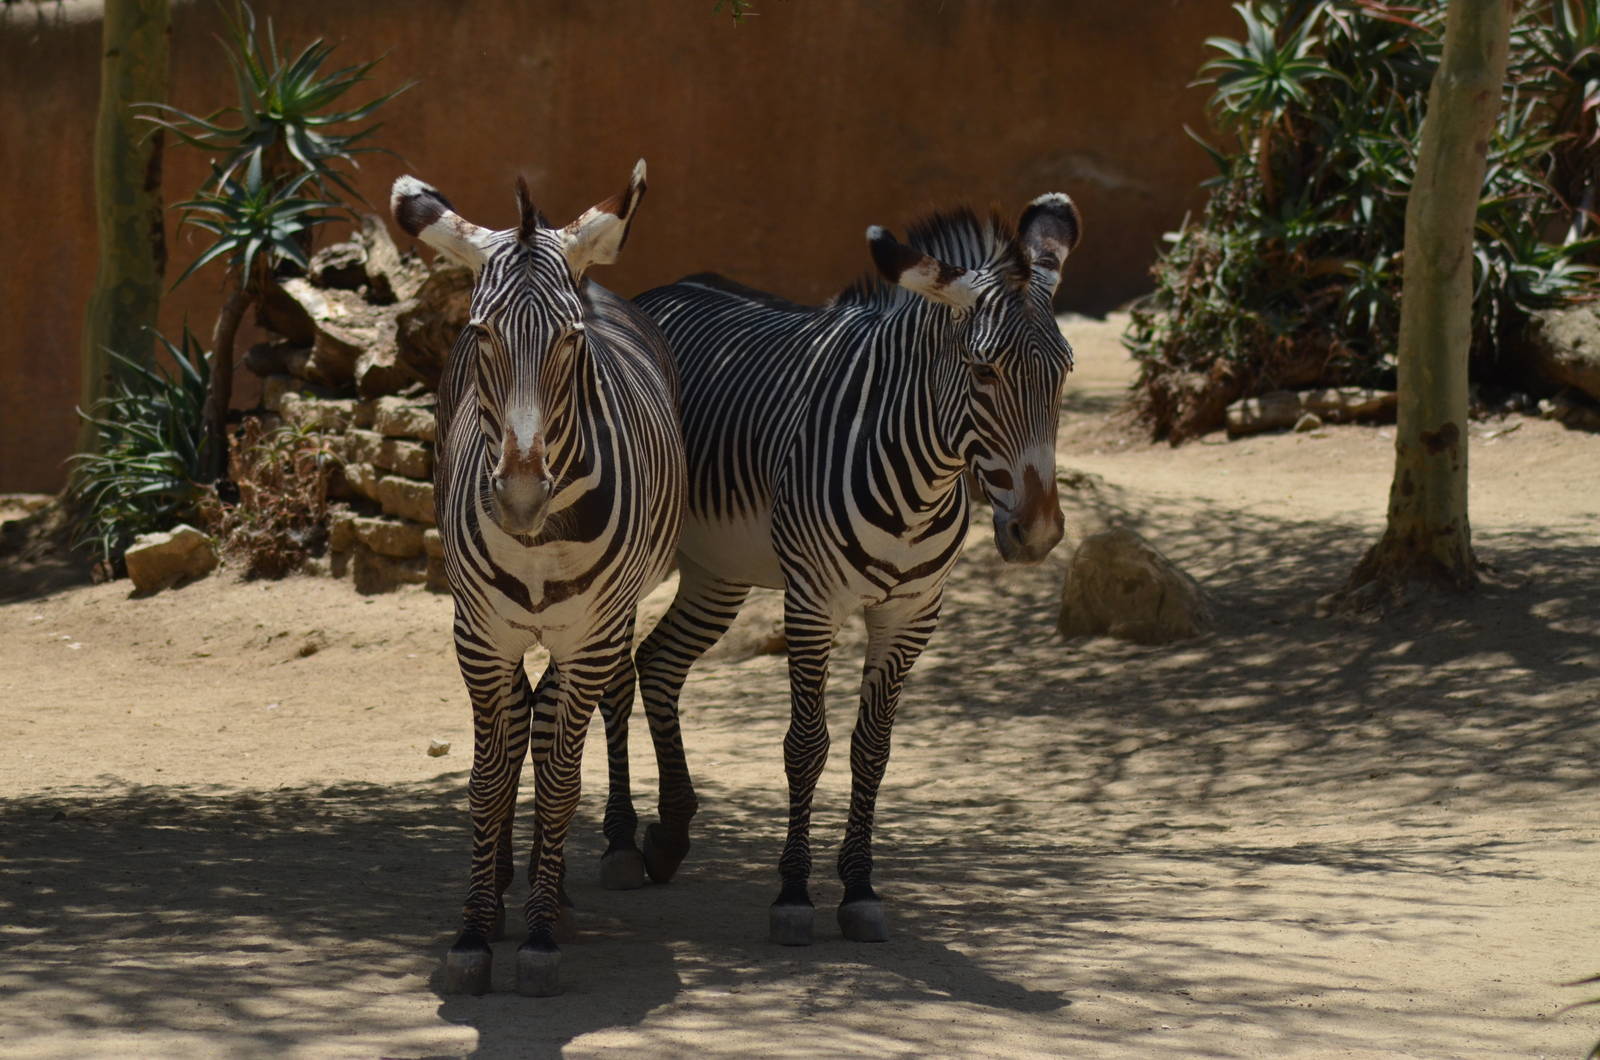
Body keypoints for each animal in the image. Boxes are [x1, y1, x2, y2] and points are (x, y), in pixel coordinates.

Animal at [389, 161, 685, 996]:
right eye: (479, 333)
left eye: (570, 341)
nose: (519, 498)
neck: (539, 541)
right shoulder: (479, 636)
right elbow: (488, 776)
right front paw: (475, 927)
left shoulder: (587, 637)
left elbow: (559, 779)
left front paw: (544, 933)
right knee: (526, 720)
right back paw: (504, 883)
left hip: (608, 621)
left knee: (590, 711)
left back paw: (593, 866)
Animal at [602, 193, 1082, 946]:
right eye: (983, 372)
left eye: (1064, 372)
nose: (1037, 534)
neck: (922, 479)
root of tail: (660, 292)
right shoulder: (813, 602)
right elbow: (806, 745)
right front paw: (794, 894)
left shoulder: (912, 613)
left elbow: (871, 750)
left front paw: (859, 888)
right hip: (627, 556)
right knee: (613, 678)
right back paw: (620, 842)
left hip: (717, 571)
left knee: (657, 663)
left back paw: (670, 833)